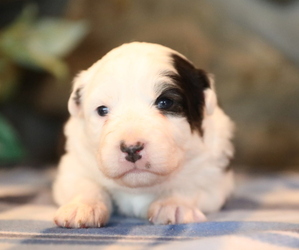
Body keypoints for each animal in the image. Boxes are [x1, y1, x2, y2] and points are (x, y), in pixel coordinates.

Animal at [52, 42, 236, 228]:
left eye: (165, 102)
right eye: (102, 110)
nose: (131, 149)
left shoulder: (214, 173)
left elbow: (192, 184)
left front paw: (174, 205)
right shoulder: (74, 163)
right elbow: (84, 183)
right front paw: (82, 207)